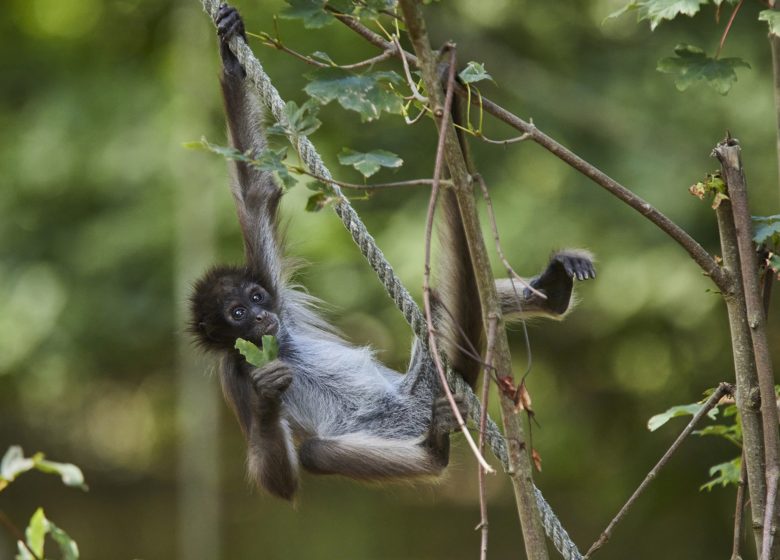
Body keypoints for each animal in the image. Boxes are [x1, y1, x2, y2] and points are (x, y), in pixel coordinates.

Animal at [192, 3, 596, 504]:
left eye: (255, 299)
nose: (260, 315)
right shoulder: (234, 372)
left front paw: (230, 47)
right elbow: (281, 482)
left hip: (426, 377)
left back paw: (553, 291)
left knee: (440, 302)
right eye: (237, 313)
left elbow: (256, 191)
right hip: (414, 407)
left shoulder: (276, 293)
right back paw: (435, 452)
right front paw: (267, 398)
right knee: (316, 453)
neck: (276, 340)